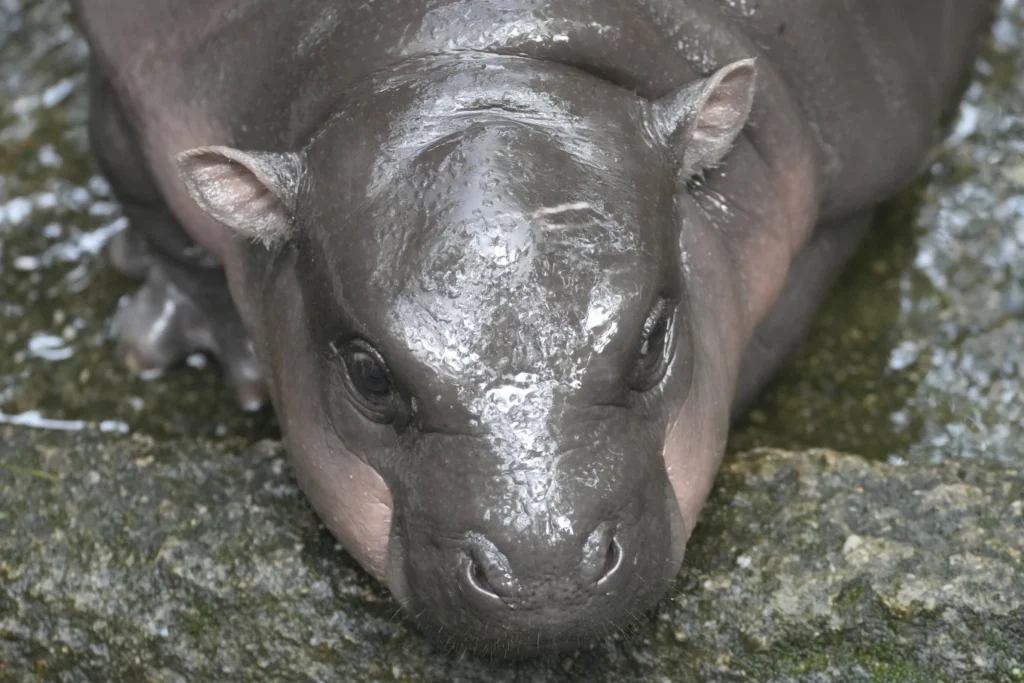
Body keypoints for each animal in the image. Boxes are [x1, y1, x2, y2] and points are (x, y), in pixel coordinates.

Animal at [70, 0, 991, 655]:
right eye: (370, 374)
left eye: (653, 338)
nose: (545, 573)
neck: (473, 54)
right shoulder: (142, 83)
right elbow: (139, 184)